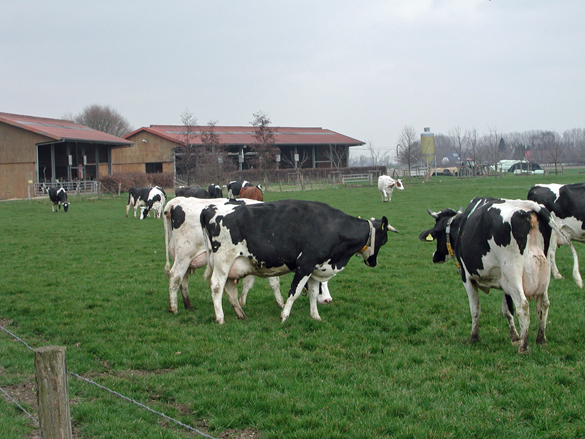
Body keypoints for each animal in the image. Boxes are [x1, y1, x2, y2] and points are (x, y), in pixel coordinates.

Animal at [201, 201, 396, 324]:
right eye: (384, 240)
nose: (373, 262)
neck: (333, 227)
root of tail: (209, 209)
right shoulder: (305, 264)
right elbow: (294, 292)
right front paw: (284, 316)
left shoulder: (316, 269)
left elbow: (312, 293)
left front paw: (316, 317)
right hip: (223, 261)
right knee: (216, 286)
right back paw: (220, 318)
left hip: (231, 266)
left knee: (229, 289)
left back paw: (241, 315)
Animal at [420, 198, 580, 356]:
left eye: (437, 234)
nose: (435, 256)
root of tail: (529, 206)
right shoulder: (505, 283)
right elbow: (507, 310)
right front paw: (514, 337)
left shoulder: (467, 278)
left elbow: (475, 309)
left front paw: (474, 337)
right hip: (543, 273)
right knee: (543, 304)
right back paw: (540, 339)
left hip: (513, 272)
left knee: (523, 306)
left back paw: (524, 347)